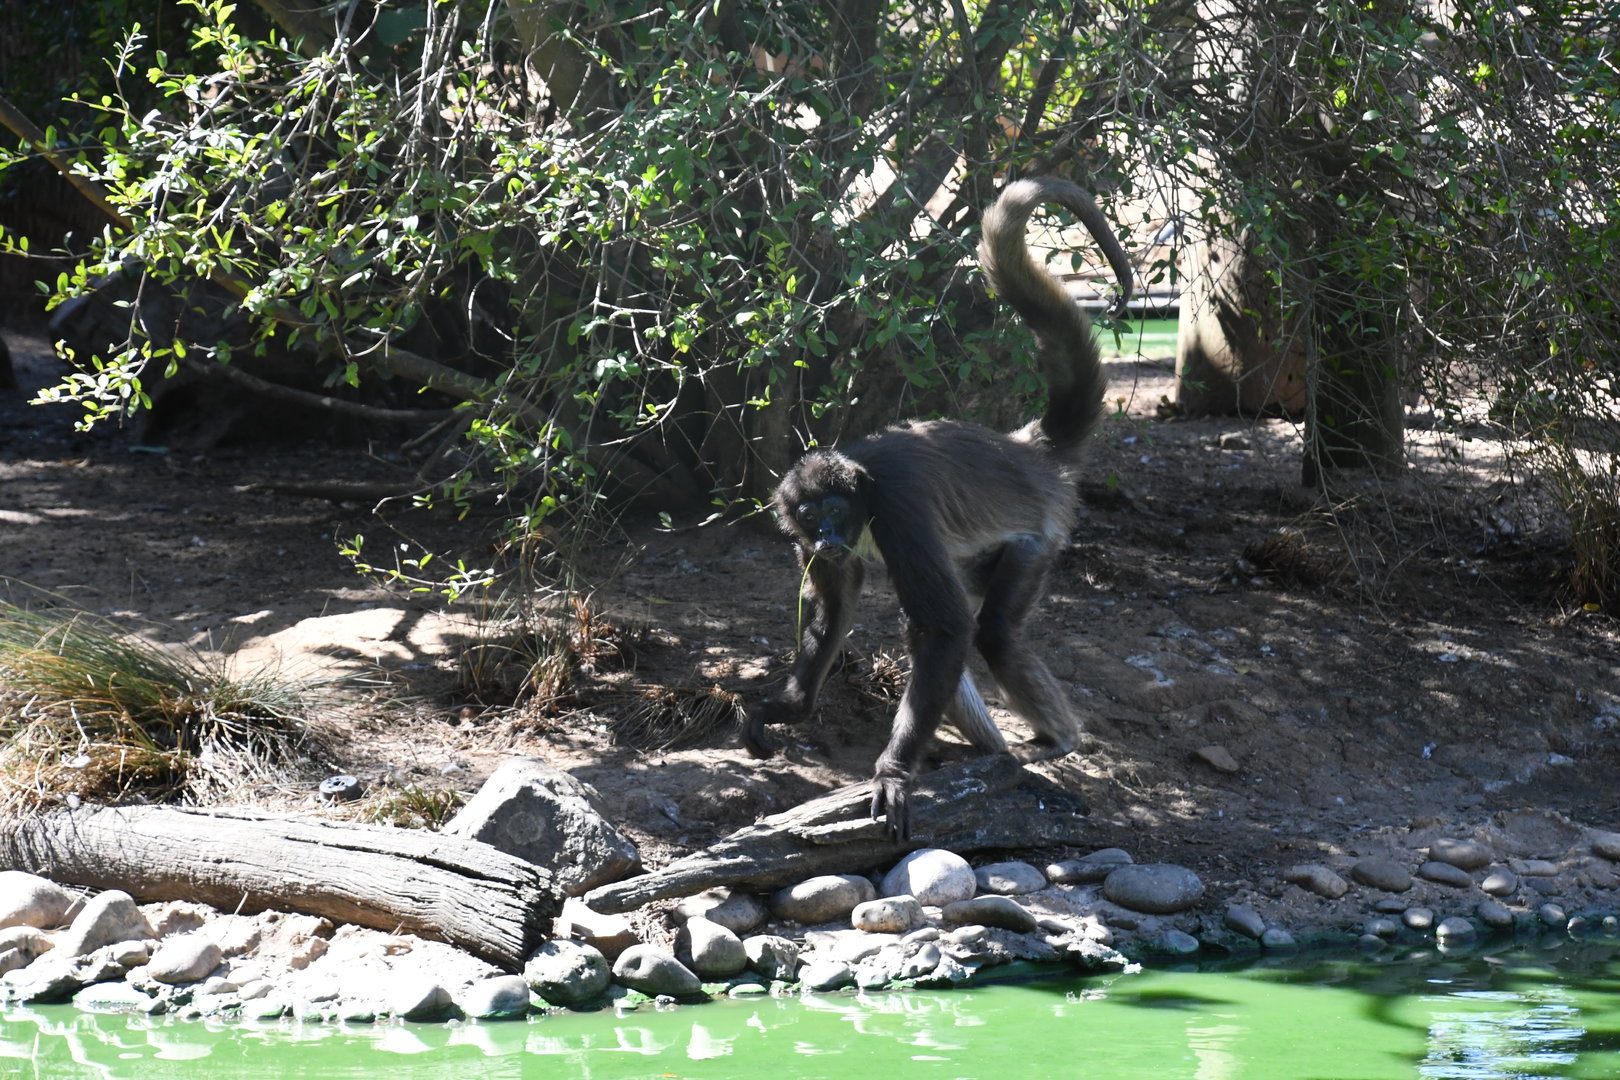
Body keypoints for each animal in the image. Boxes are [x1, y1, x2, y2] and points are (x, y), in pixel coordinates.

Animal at [744, 176, 1134, 842]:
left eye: (836, 511)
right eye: (812, 518)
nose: (827, 538)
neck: (864, 487)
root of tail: (1026, 449)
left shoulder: (897, 510)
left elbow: (948, 627)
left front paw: (892, 774)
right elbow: (837, 606)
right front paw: (786, 707)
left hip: (1038, 539)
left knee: (989, 631)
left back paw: (1056, 742)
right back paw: (990, 750)